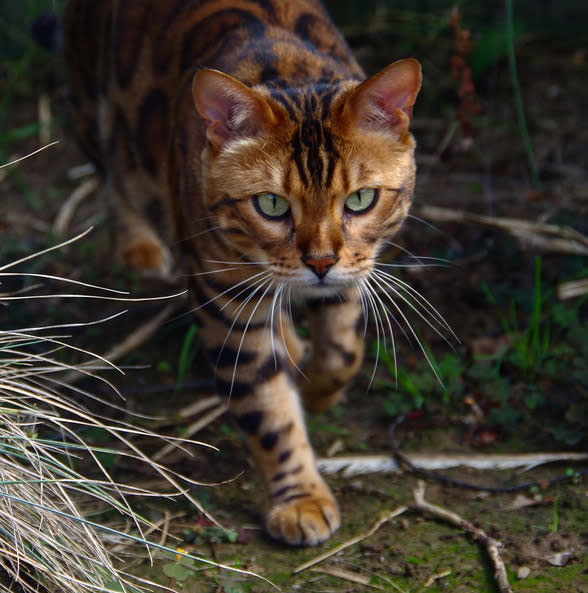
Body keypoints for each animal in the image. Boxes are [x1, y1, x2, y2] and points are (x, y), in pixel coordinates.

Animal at [64, 1, 422, 544]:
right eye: (271, 205)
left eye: (361, 199)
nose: (320, 262)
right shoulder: (225, 300)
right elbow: (267, 409)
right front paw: (301, 499)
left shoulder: (353, 270)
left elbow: (343, 349)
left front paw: (316, 389)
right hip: (93, 105)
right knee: (113, 172)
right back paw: (137, 248)